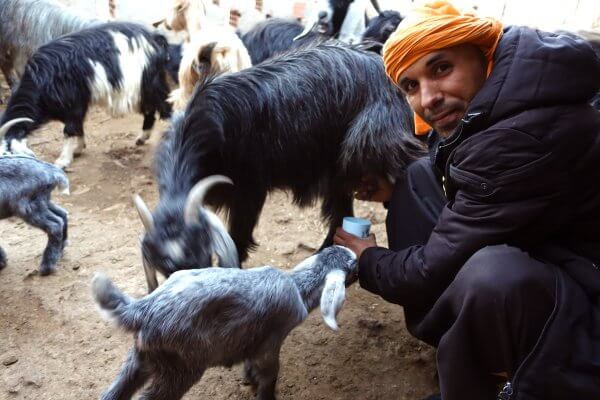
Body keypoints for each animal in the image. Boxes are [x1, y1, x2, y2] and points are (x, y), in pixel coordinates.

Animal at [0, 21, 176, 169]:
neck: (41, 80)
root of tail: (154, 39)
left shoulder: (74, 104)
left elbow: (70, 130)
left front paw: (63, 160)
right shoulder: (73, 106)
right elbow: (77, 127)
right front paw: (78, 148)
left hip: (147, 84)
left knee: (164, 106)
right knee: (150, 109)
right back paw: (142, 138)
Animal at [0, 118, 69, 276]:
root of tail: (52, 171)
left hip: (27, 207)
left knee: (55, 224)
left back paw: (46, 267)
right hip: (42, 201)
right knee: (62, 215)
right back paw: (61, 250)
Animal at [92, 244, 358, 400]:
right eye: (354, 267)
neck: (298, 287)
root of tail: (142, 309)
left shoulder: (254, 339)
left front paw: (248, 380)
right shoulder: (270, 343)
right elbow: (270, 375)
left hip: (140, 360)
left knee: (113, 393)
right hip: (181, 368)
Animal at [135, 43, 426, 288]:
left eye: (201, 256)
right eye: (166, 268)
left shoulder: (249, 188)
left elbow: (238, 235)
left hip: (371, 144)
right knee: (340, 211)